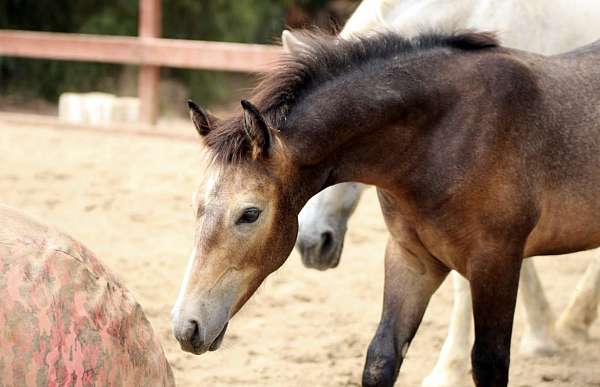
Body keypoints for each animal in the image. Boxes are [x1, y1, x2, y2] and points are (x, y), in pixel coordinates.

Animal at [170, 31, 600, 387]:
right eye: (196, 204)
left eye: (250, 213)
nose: (186, 328)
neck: (446, 138)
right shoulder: (412, 260)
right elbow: (381, 357)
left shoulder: (496, 263)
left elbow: (489, 363)